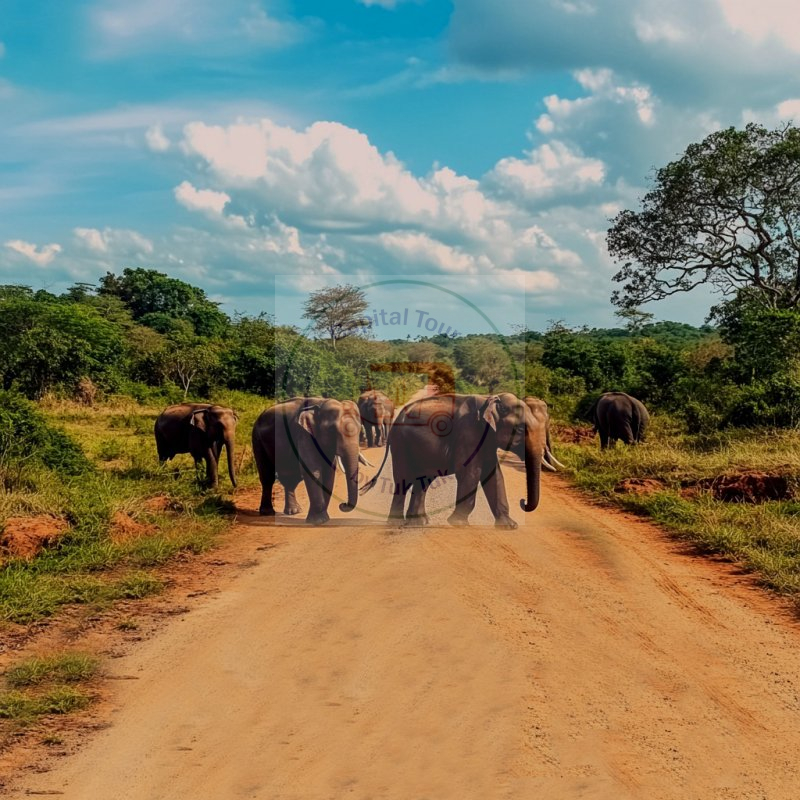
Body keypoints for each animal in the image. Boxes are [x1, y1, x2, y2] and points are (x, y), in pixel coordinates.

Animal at [253, 396, 362, 524]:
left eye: (360, 430)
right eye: (332, 430)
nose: (343, 504)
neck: (320, 404)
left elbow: (329, 472)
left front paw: (323, 519)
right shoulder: (304, 435)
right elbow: (313, 471)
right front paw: (317, 521)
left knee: (291, 478)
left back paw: (294, 511)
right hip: (257, 439)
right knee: (267, 477)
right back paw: (268, 512)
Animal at [362, 390, 544, 528]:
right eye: (520, 430)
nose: (523, 501)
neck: (490, 399)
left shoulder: (487, 440)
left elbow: (494, 475)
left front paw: (510, 526)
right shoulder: (469, 432)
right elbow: (471, 473)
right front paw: (459, 524)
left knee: (423, 481)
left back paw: (419, 523)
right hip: (401, 443)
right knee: (403, 479)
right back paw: (396, 524)